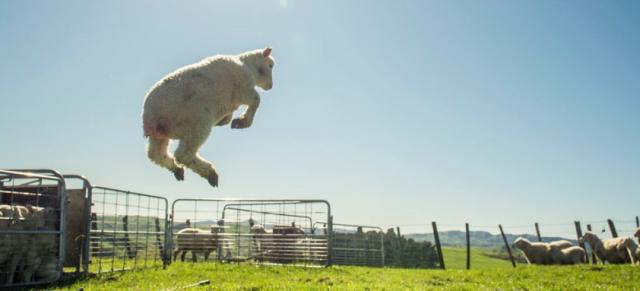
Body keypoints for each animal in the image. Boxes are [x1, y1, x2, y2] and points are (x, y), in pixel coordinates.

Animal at [142, 45, 276, 187]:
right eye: (270, 65)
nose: (270, 86)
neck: (248, 66)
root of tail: (151, 117)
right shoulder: (243, 90)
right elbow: (256, 100)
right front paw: (242, 122)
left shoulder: (231, 102)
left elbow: (228, 117)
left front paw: (225, 121)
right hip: (197, 122)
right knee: (183, 154)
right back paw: (210, 173)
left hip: (159, 135)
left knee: (156, 155)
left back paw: (177, 169)